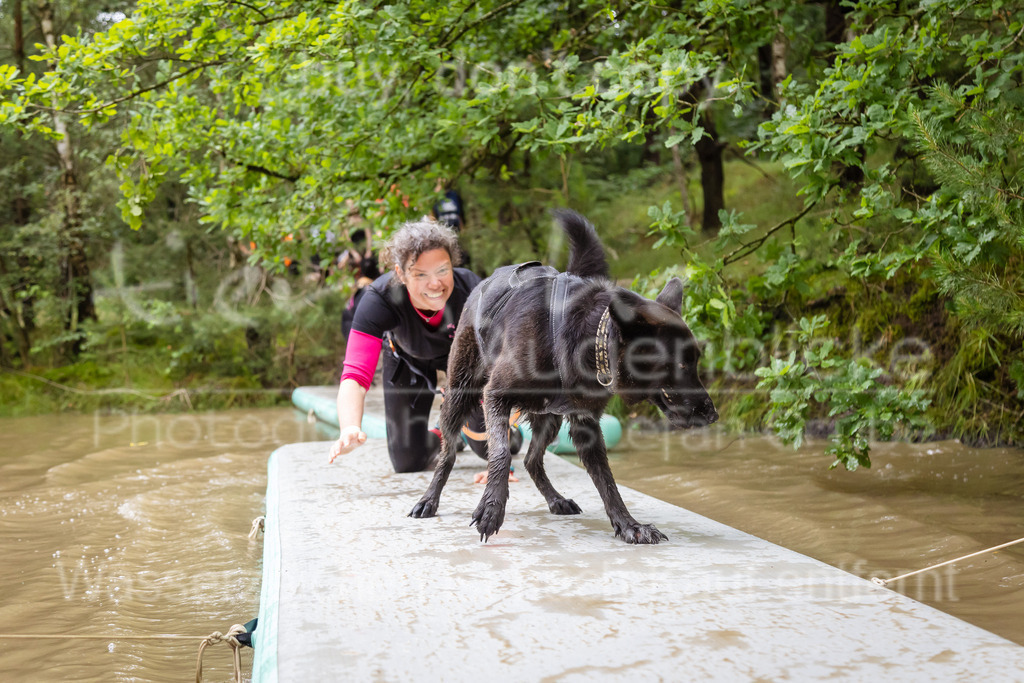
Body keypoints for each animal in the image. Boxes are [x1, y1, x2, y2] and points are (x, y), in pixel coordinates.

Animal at [409, 210, 720, 540]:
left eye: (694, 362)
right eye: (683, 365)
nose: (713, 415)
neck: (588, 340)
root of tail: (486, 280)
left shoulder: (585, 424)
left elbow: (607, 481)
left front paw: (628, 525)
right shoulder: (494, 396)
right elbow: (501, 454)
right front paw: (491, 509)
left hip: (550, 418)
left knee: (532, 460)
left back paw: (555, 499)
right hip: (459, 396)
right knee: (448, 454)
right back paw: (429, 500)